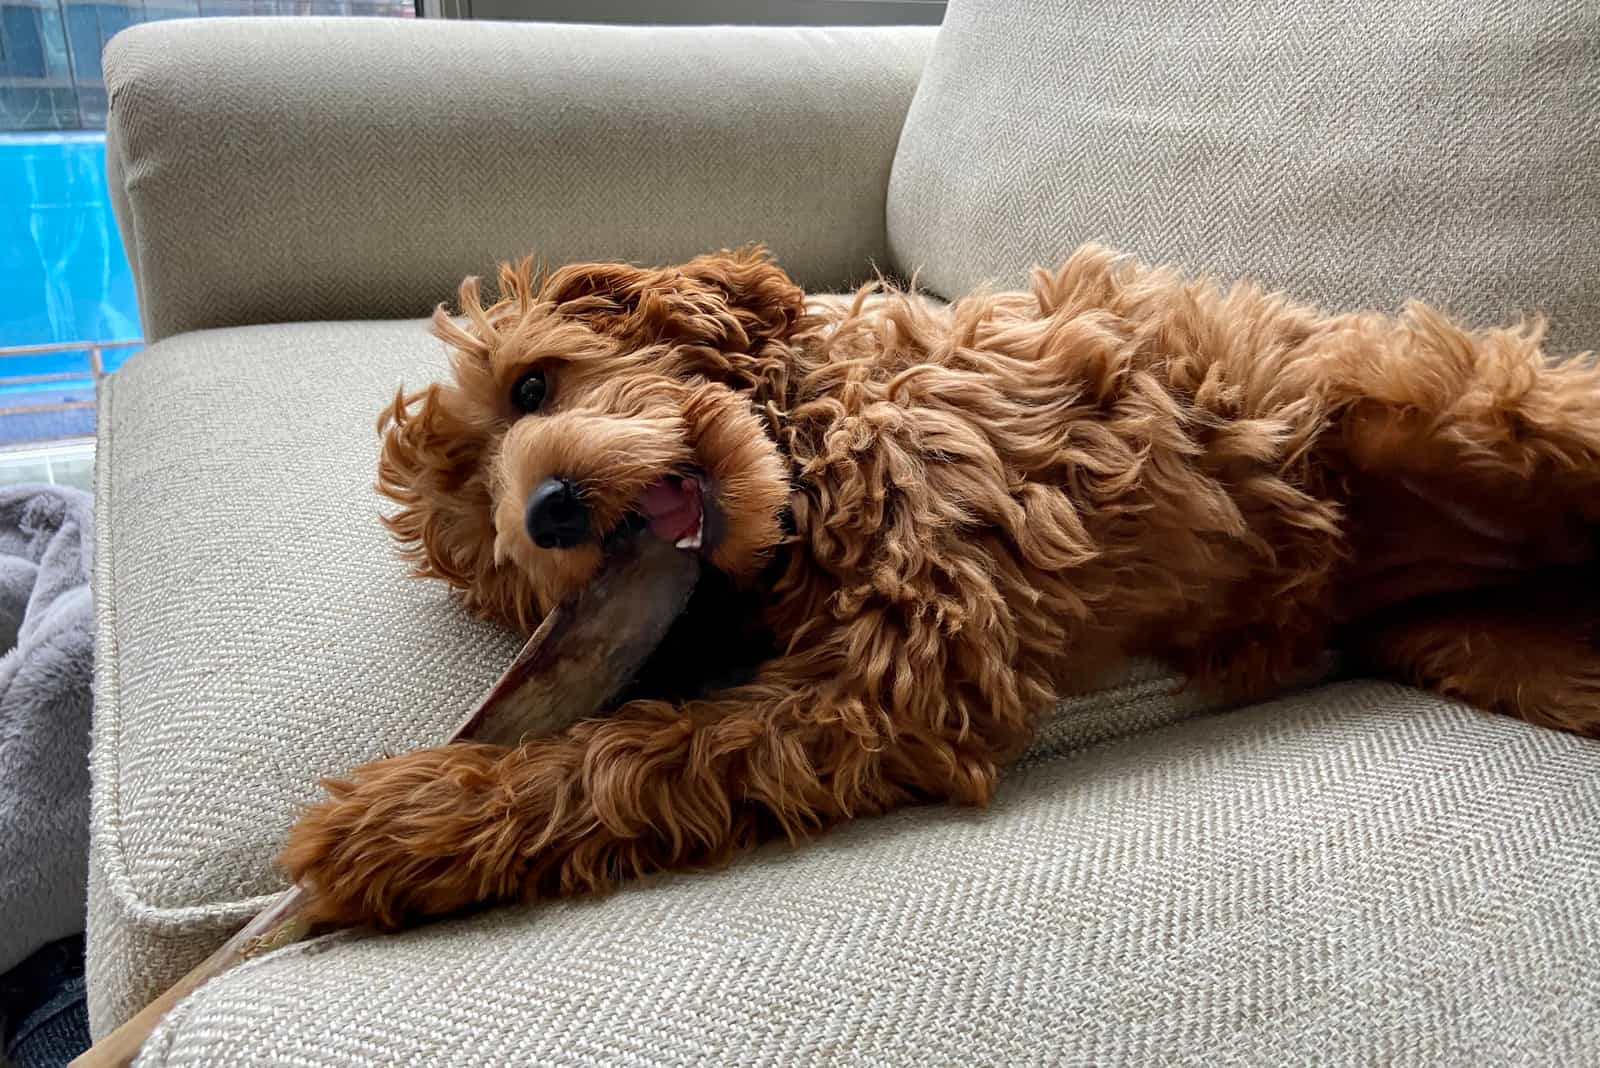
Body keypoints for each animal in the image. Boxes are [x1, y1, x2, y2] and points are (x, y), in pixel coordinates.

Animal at [281, 241, 1600, 927]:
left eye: (531, 388)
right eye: (498, 552)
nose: (546, 510)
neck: (809, 462)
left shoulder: (909, 664)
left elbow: (625, 751)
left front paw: (390, 820)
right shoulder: (872, 687)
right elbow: (633, 756)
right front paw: (419, 822)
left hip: (1449, 404)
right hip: (1477, 644)